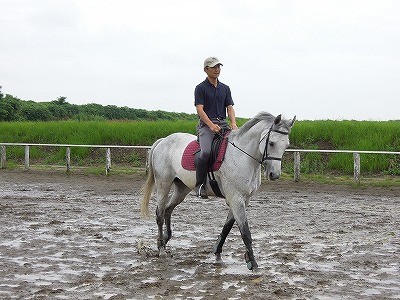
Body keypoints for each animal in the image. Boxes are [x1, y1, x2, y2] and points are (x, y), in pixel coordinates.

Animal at [141, 111, 294, 270]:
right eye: (271, 143)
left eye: (286, 145)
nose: (274, 174)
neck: (243, 156)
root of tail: (164, 140)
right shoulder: (235, 198)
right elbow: (245, 231)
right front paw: (252, 262)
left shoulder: (243, 199)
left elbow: (227, 227)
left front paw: (218, 253)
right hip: (163, 184)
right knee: (160, 213)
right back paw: (161, 249)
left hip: (182, 188)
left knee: (168, 209)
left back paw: (165, 240)